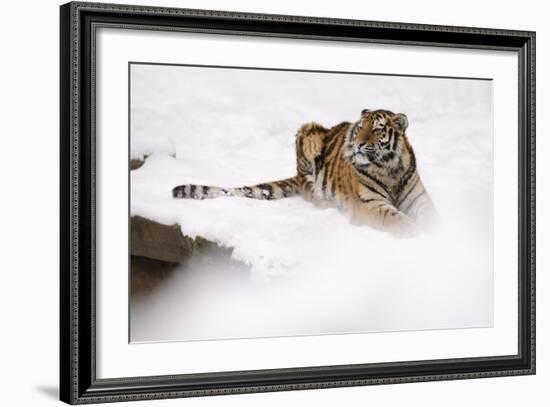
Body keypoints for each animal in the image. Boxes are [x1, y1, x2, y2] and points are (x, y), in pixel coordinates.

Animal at [174, 110, 440, 237]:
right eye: (359, 129)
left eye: (377, 129)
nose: (359, 144)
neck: (390, 168)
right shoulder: (369, 204)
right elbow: (396, 219)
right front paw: (415, 232)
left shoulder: (418, 199)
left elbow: (432, 217)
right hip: (308, 133)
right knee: (309, 191)